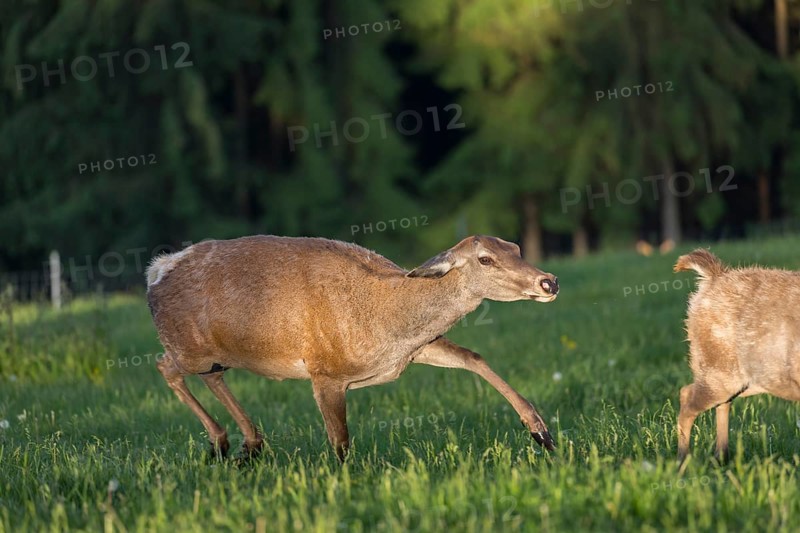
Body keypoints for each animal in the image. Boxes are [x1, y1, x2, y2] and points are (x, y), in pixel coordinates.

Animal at [145, 234, 560, 461]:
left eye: (516, 247)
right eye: (485, 258)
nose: (549, 282)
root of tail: (156, 270)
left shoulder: (410, 352)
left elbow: (473, 357)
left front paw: (542, 433)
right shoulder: (325, 370)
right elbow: (341, 442)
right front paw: (342, 486)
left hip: (213, 354)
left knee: (211, 376)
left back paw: (249, 444)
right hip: (187, 346)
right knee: (164, 366)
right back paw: (220, 442)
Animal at [675, 249, 800, 463]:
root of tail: (712, 276)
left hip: (753, 379)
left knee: (719, 402)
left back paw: (721, 456)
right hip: (719, 370)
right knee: (687, 397)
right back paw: (683, 460)